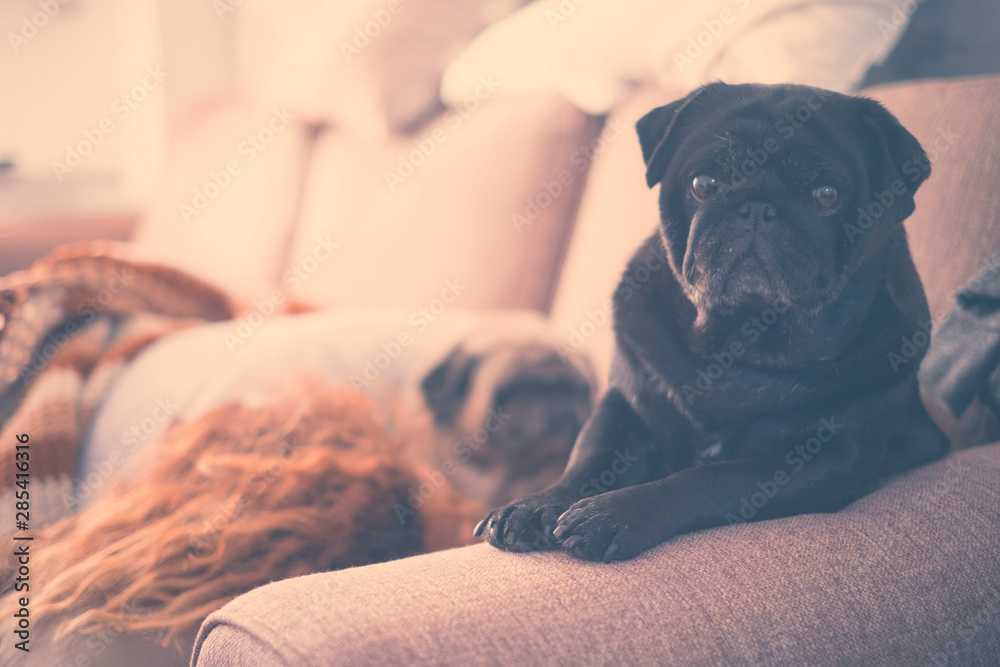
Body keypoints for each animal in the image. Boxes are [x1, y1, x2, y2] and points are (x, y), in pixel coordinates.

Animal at [472, 83, 948, 564]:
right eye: (703, 185)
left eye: (827, 195)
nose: (757, 206)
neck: (742, 343)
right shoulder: (625, 406)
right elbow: (590, 457)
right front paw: (538, 504)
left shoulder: (827, 458)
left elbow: (712, 478)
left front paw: (617, 513)